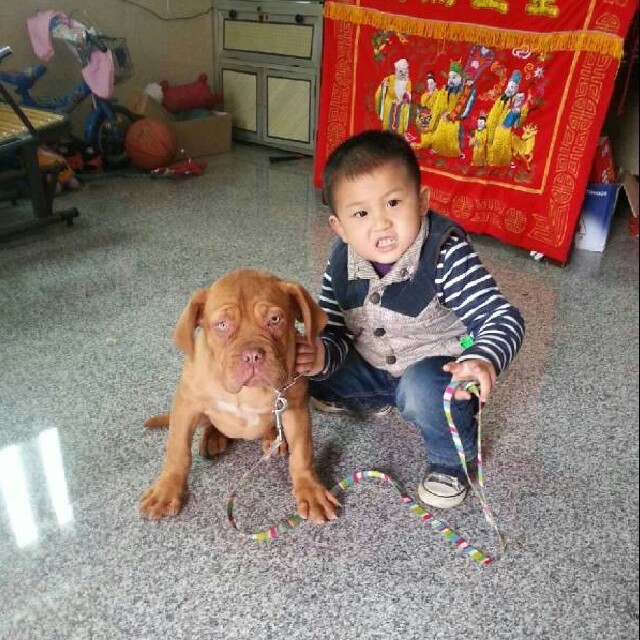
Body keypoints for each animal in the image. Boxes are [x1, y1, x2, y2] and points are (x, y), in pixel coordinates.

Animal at [139, 269, 340, 523]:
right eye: (222, 325)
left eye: (275, 320)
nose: (252, 355)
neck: (247, 392)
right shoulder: (186, 404)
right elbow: (177, 450)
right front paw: (166, 490)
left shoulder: (295, 408)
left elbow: (303, 452)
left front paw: (310, 490)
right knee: (209, 423)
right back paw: (213, 437)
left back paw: (274, 438)